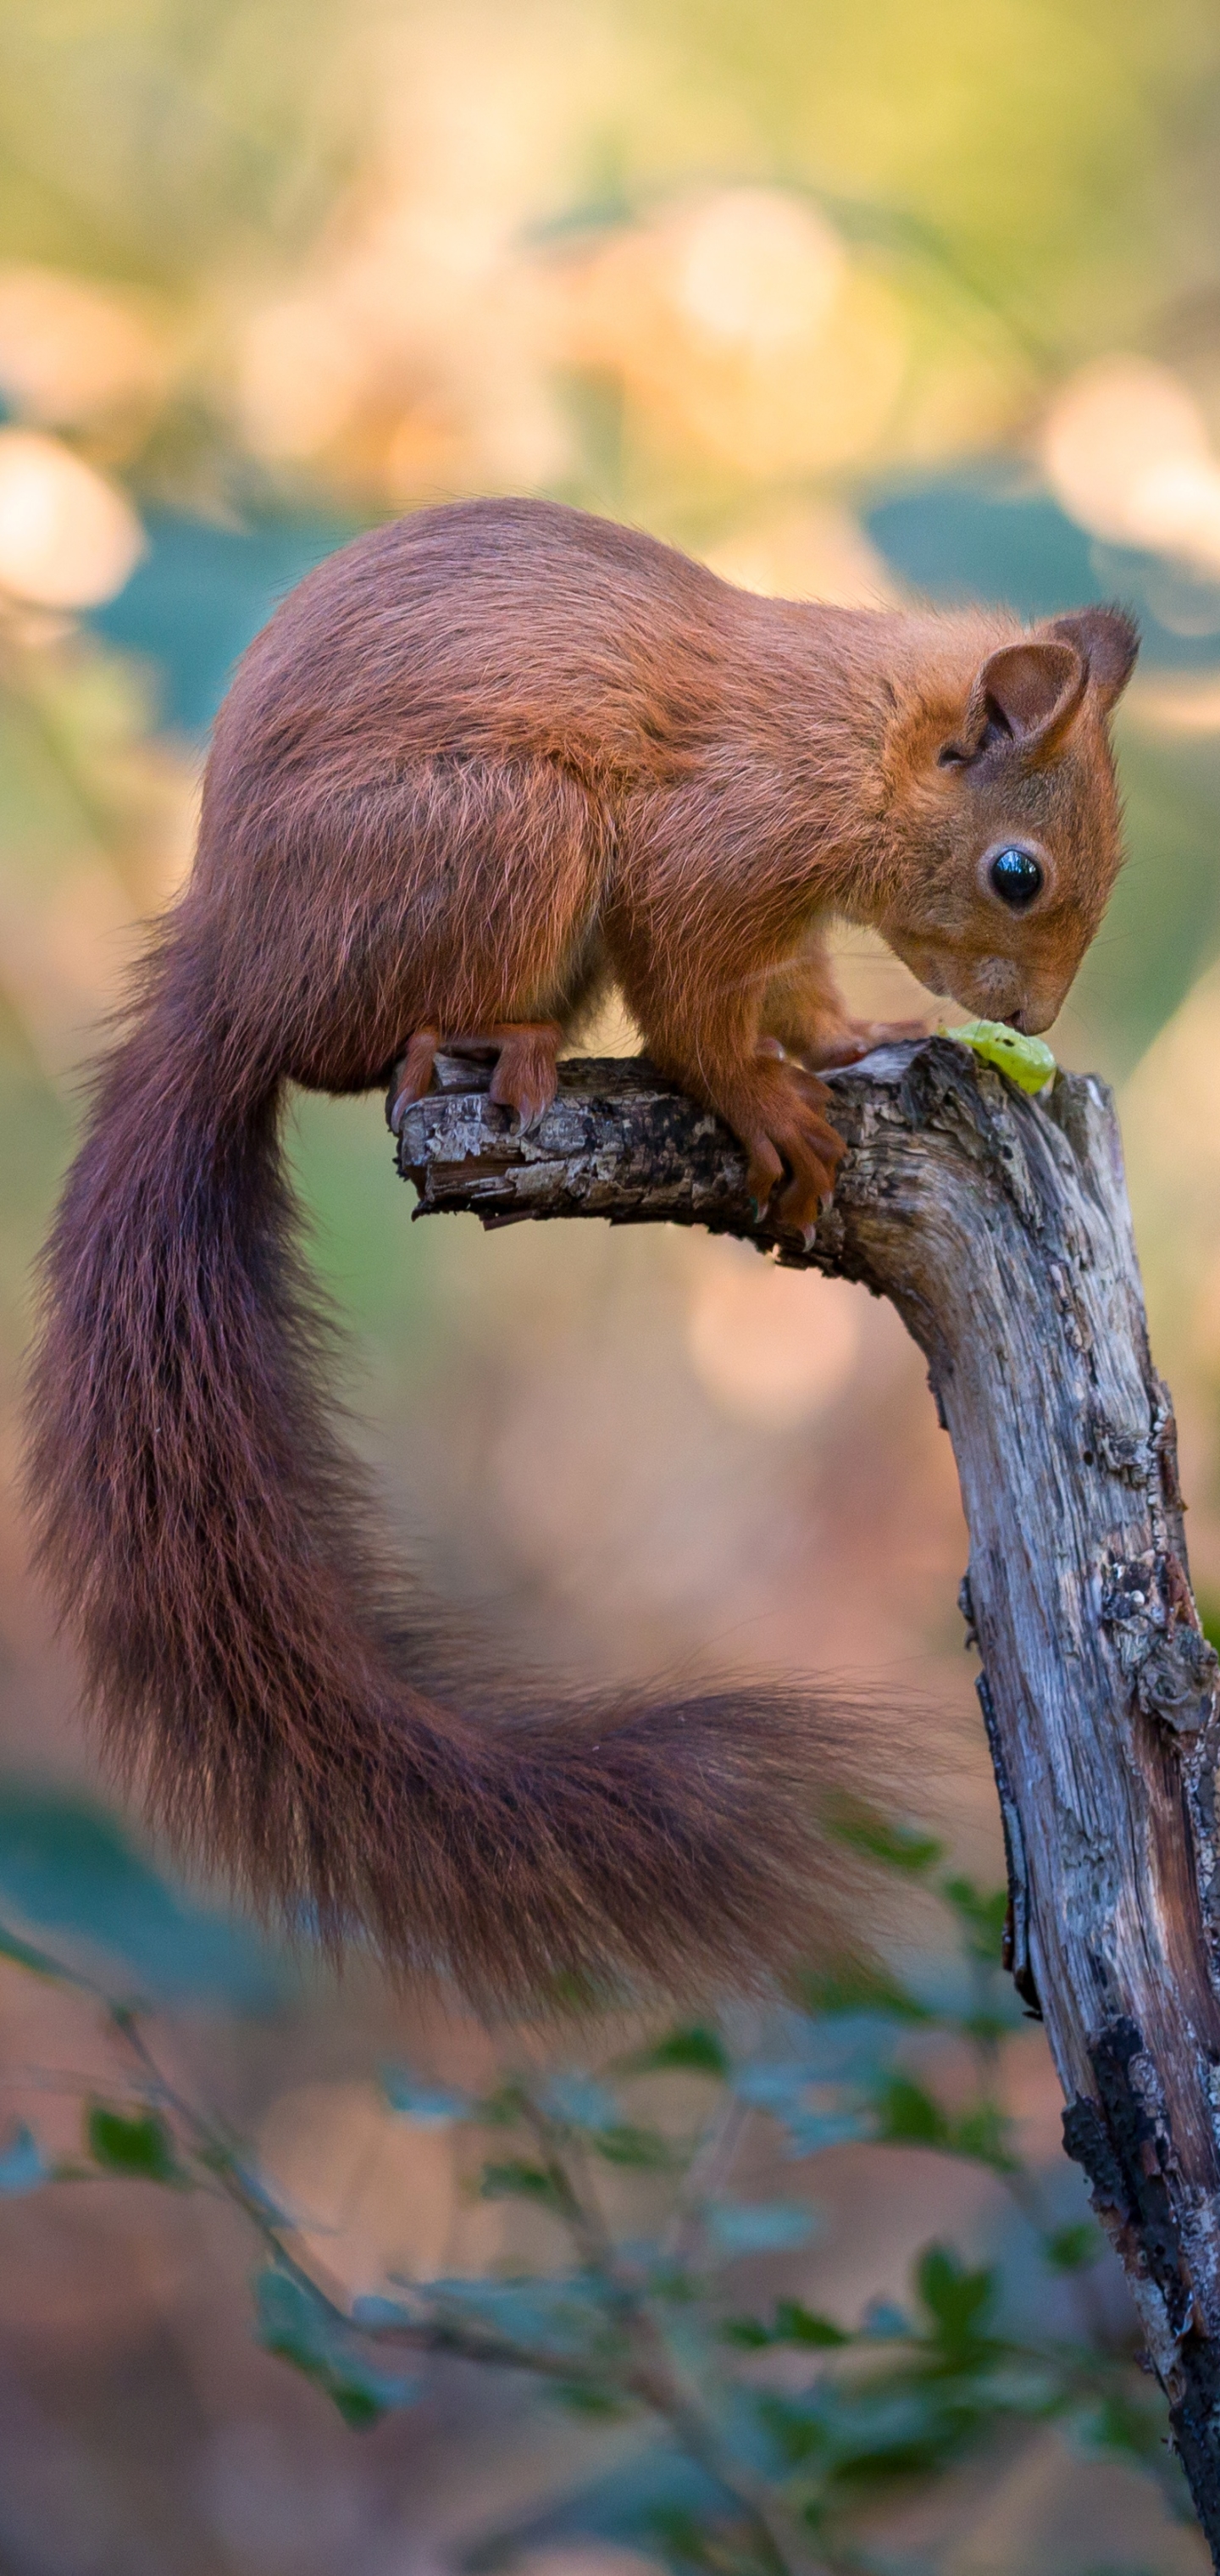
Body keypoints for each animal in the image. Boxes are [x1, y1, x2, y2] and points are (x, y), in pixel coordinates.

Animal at [25, 491, 1132, 1999]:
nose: (1030, 1022)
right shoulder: (712, 847)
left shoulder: (782, 909)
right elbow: (697, 1006)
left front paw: (851, 1039)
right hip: (506, 833)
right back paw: (489, 1038)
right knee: (354, 1050)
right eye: (1017, 872)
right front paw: (767, 1104)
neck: (847, 744)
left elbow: (793, 990)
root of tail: (231, 976)